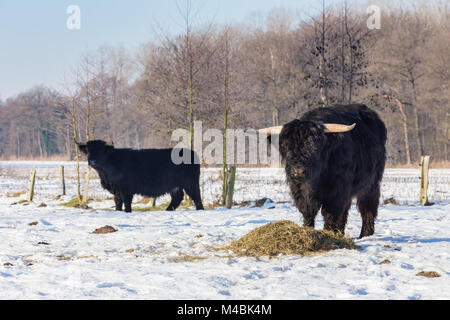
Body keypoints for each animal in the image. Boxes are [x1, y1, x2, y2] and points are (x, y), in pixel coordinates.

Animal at [264, 105, 386, 238]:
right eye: (286, 146)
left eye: (314, 146)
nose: (298, 171)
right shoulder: (298, 187)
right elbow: (308, 211)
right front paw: (308, 230)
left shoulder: (336, 189)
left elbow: (329, 212)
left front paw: (328, 232)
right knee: (345, 209)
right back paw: (340, 232)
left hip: (371, 183)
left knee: (368, 206)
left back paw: (366, 234)